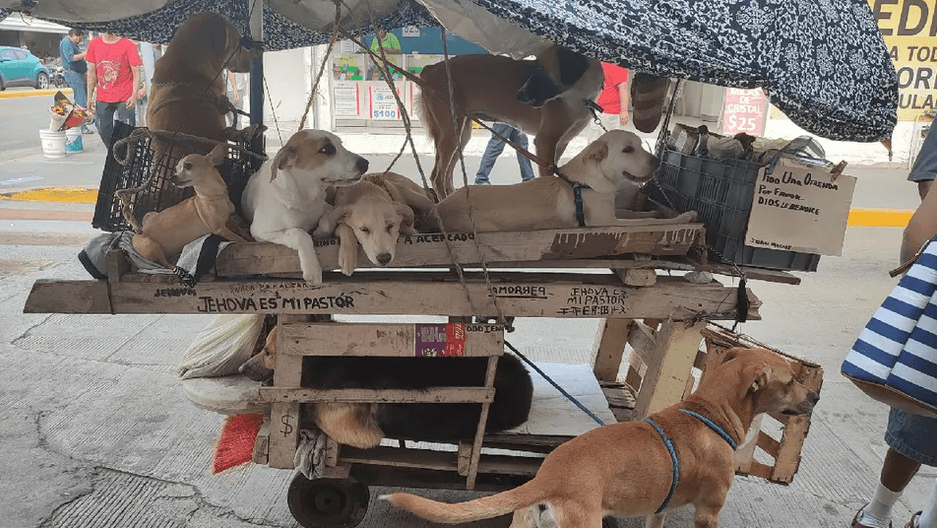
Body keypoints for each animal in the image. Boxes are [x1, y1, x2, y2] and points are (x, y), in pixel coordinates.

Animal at [239, 129, 368, 284]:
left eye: (341, 144)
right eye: (327, 149)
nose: (366, 163)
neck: (305, 200)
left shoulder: (326, 207)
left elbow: (328, 219)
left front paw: (320, 231)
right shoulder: (260, 231)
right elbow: (300, 233)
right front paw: (312, 269)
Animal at [384, 346, 816, 528]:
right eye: (791, 381)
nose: (815, 397)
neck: (709, 412)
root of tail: (548, 477)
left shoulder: (657, 512)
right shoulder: (708, 513)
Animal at [414, 44, 600, 198]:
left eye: (540, 69)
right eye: (536, 67)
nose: (519, 95)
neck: (578, 94)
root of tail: (431, 68)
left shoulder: (561, 144)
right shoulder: (545, 141)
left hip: (461, 135)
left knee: (447, 175)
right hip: (452, 133)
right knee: (437, 177)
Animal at [432, 129, 696, 232]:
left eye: (640, 145)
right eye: (628, 150)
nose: (657, 162)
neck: (589, 182)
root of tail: (439, 207)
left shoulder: (611, 212)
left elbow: (639, 215)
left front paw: (656, 212)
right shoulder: (607, 222)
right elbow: (648, 223)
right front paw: (684, 218)